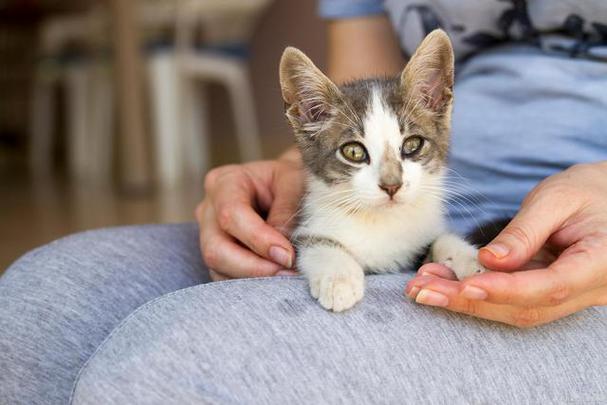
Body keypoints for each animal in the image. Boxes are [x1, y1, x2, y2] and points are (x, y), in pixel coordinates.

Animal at [280, 30, 484, 310]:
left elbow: (442, 239)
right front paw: (339, 279)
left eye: (412, 144)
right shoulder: (307, 225)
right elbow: (315, 243)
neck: (381, 222)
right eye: (353, 152)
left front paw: (471, 260)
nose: (391, 185)